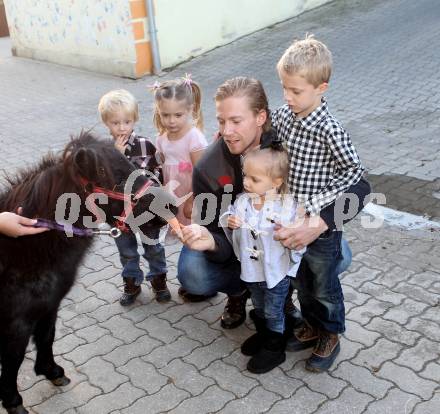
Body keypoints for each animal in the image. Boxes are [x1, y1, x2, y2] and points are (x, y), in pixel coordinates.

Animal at [0, 133, 175, 414]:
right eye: (112, 176)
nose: (170, 206)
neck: (22, 250)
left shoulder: (49, 307)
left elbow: (46, 337)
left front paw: (52, 371)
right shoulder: (16, 323)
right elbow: (13, 360)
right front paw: (13, 401)